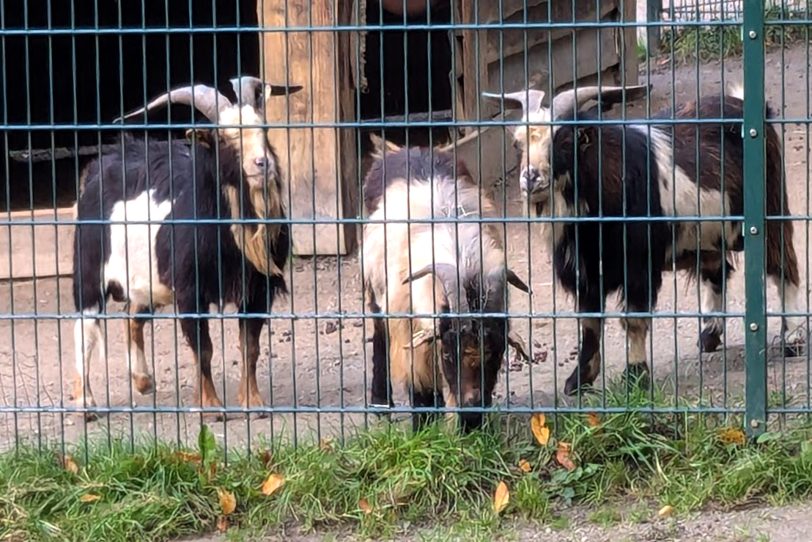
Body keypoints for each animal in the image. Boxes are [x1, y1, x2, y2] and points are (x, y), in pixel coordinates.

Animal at [72, 78, 302, 422]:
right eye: (224, 138)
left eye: (263, 130)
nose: (263, 164)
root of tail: (100, 167)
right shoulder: (191, 290)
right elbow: (203, 348)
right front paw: (211, 408)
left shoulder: (257, 288)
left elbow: (249, 346)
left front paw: (255, 403)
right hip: (89, 270)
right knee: (84, 330)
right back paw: (85, 403)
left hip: (147, 278)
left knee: (133, 315)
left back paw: (143, 380)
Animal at [364, 139, 528, 434]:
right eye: (449, 354)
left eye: (496, 355)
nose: (472, 416)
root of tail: (400, 149)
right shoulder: (410, 330)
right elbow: (419, 384)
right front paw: (423, 430)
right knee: (379, 333)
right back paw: (380, 405)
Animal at [486, 83, 804, 396]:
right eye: (518, 144)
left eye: (564, 141)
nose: (531, 178)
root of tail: (745, 104)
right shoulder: (586, 271)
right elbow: (589, 324)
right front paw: (579, 380)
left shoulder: (638, 266)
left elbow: (633, 320)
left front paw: (635, 377)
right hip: (708, 234)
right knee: (718, 271)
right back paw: (709, 335)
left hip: (770, 208)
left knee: (783, 265)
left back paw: (792, 338)